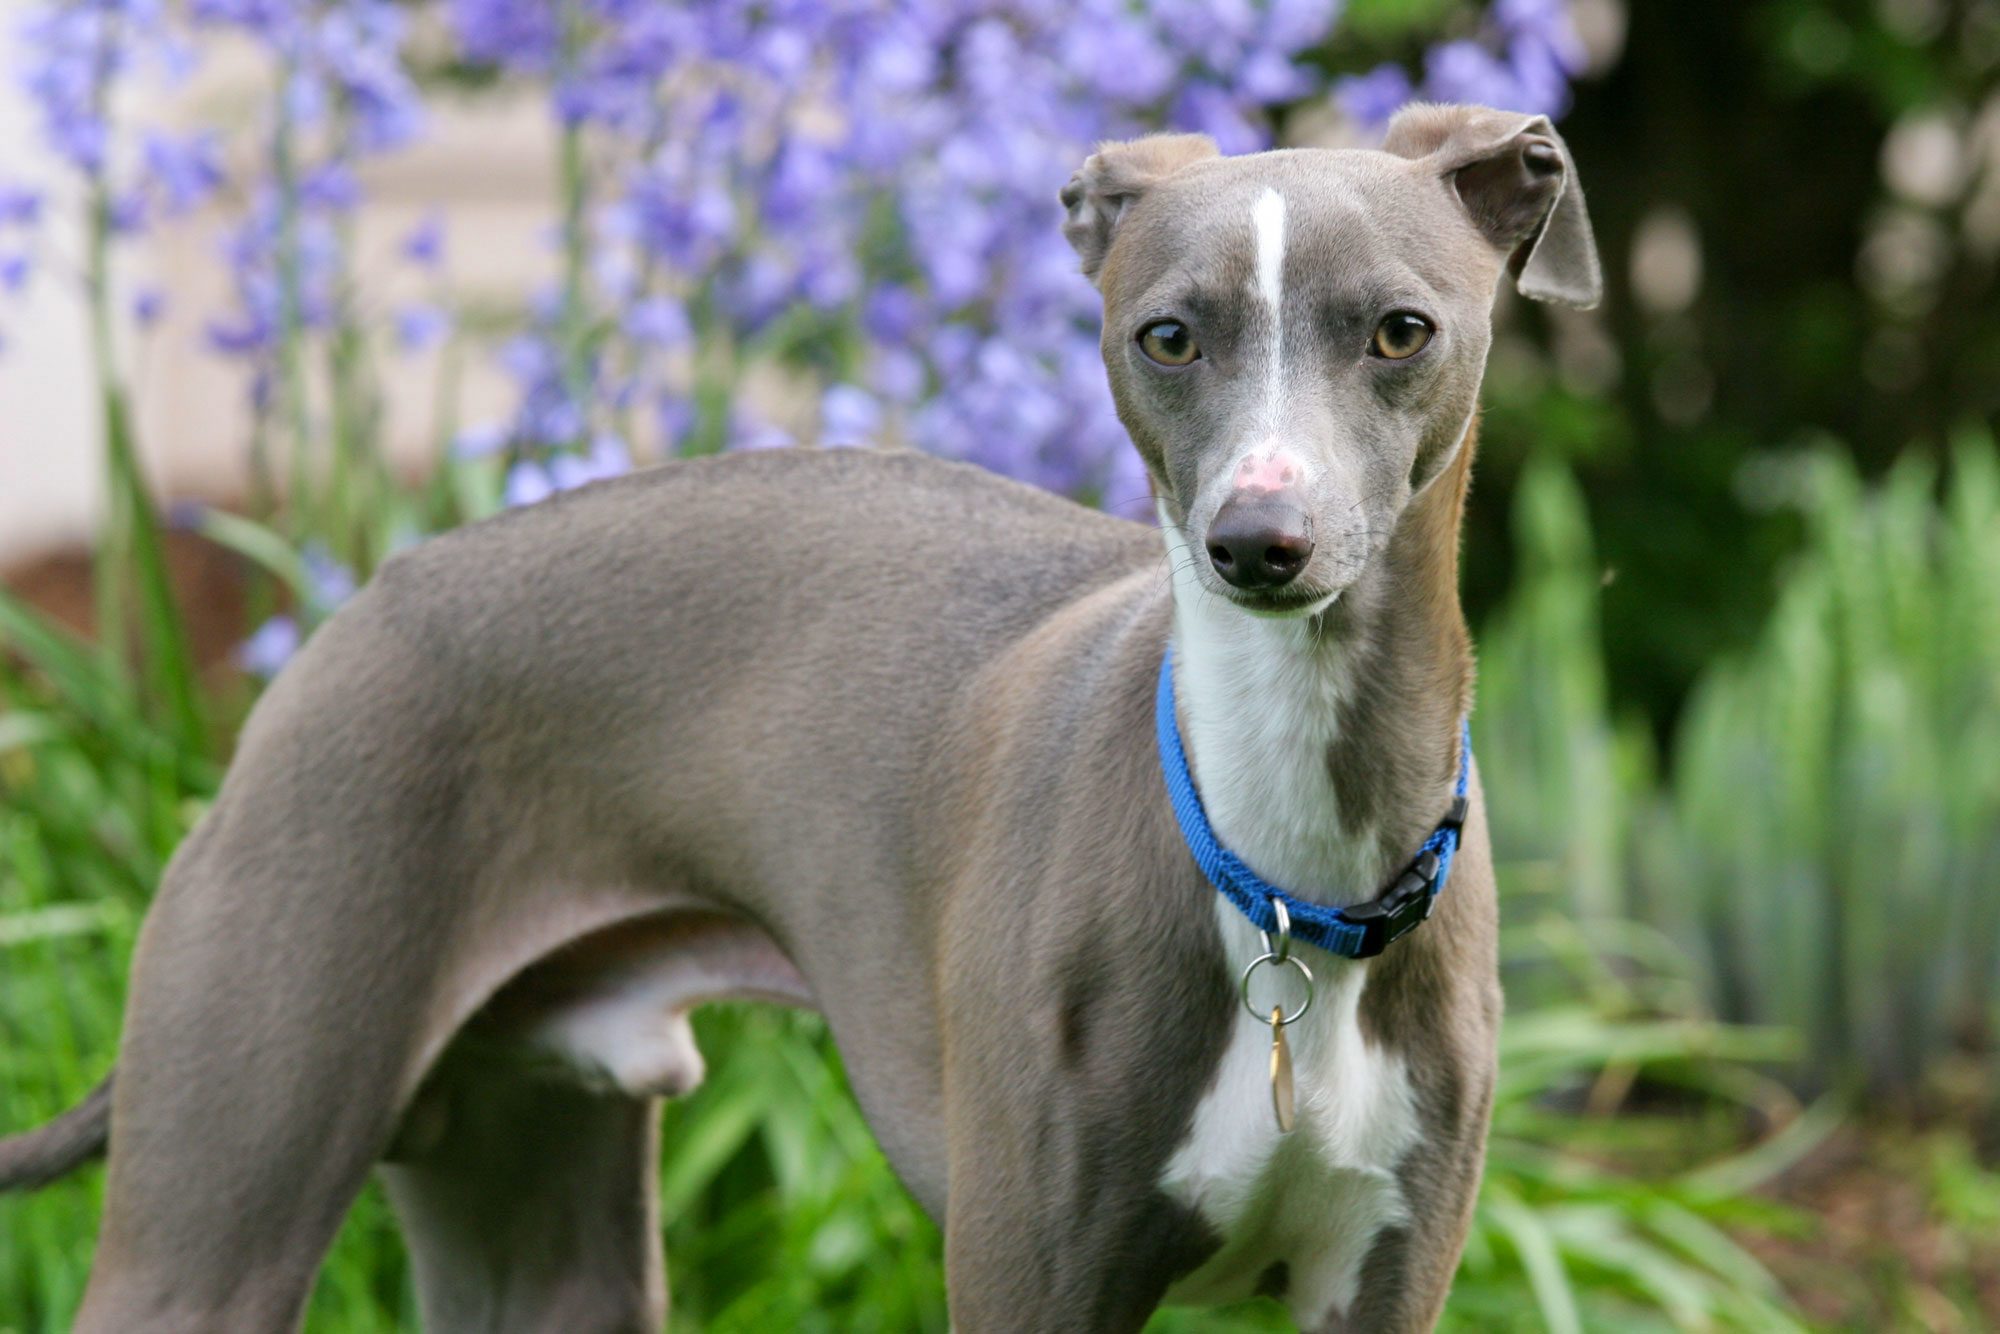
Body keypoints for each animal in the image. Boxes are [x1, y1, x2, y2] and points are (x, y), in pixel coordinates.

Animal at [0, 99, 1592, 1328]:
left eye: (1400, 330)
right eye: (1168, 336)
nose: (1260, 542)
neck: (1279, 879)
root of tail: (336, 627)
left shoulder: (1386, 1274)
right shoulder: (1025, 1273)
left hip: (538, 1202)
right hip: (217, 1202)